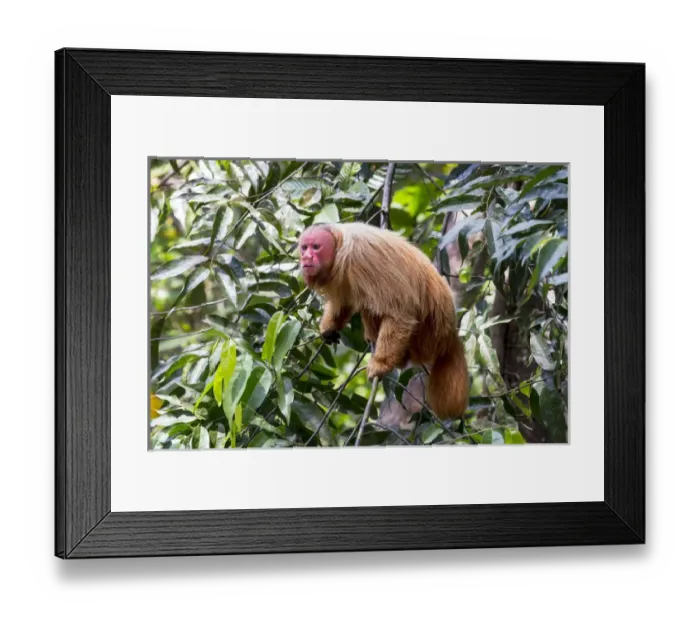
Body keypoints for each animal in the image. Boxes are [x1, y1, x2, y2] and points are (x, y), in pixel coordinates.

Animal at [298, 222, 469, 419]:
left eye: (316, 247)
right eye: (304, 247)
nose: (306, 257)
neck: (339, 248)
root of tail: (449, 335)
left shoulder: (361, 259)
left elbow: (400, 313)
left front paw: (381, 364)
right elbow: (344, 302)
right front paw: (329, 328)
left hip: (426, 338)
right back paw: (372, 335)